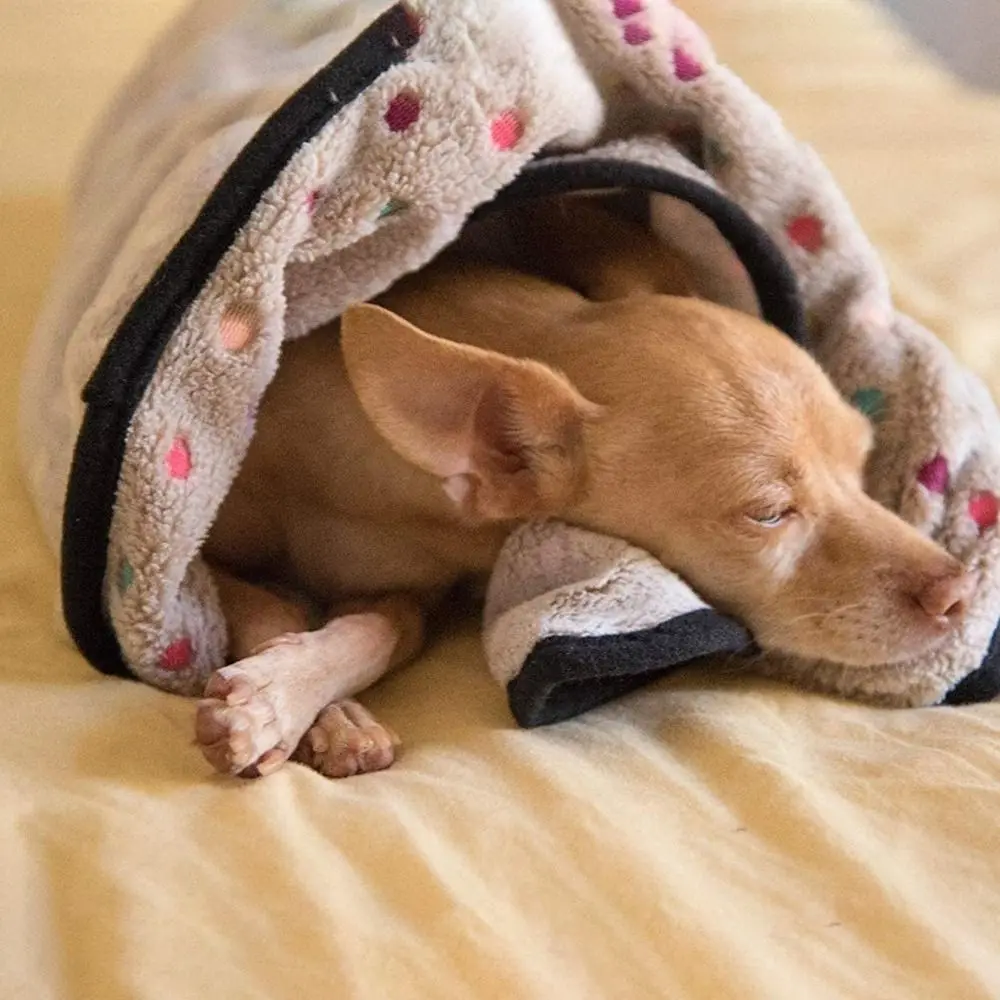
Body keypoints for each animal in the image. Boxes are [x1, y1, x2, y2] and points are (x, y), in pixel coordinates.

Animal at [193, 203, 968, 780]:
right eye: (769, 515)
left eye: (863, 467)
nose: (958, 591)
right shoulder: (189, 547)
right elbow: (263, 602)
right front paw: (280, 702)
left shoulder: (405, 588)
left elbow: (386, 630)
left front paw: (308, 694)